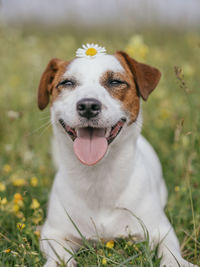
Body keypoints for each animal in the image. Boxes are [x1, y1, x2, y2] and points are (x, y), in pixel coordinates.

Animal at [37, 44, 195, 267]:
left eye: (115, 82)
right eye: (67, 83)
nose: (88, 106)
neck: (99, 178)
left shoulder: (161, 230)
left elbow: (170, 251)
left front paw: (176, 262)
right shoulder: (54, 233)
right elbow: (59, 255)